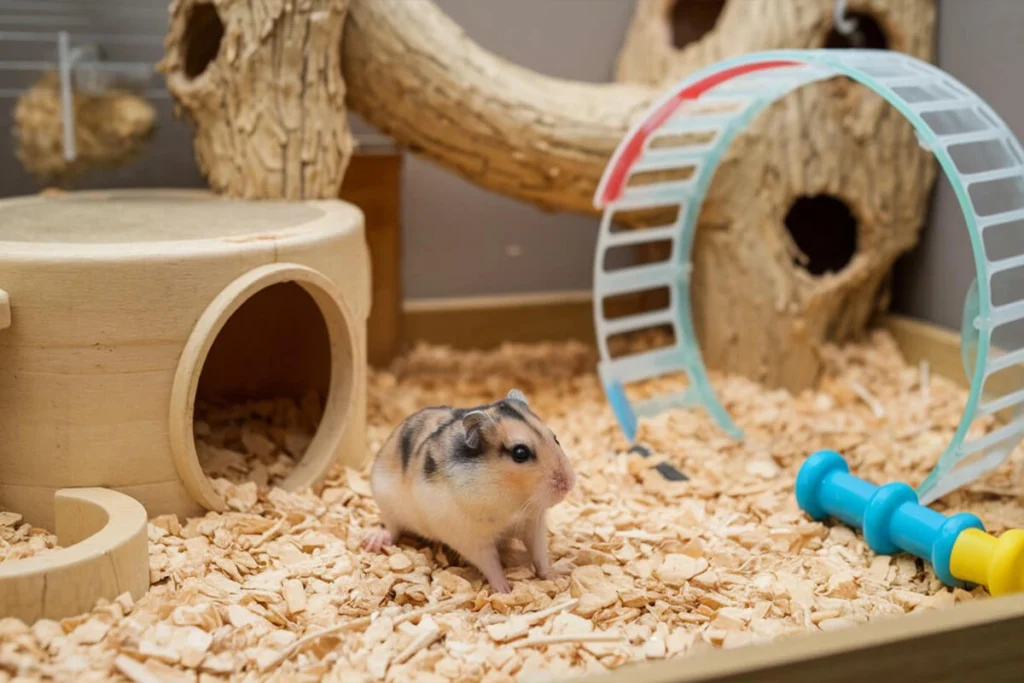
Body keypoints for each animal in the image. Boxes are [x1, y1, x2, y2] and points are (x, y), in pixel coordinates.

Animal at [362, 389, 577, 593]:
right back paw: (372, 541)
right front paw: (505, 590)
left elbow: (540, 554)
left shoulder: (533, 523)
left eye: (555, 438)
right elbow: (491, 565)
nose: (568, 485)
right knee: (391, 529)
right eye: (520, 453)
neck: (510, 497)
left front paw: (559, 572)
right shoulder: (470, 538)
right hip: (386, 503)